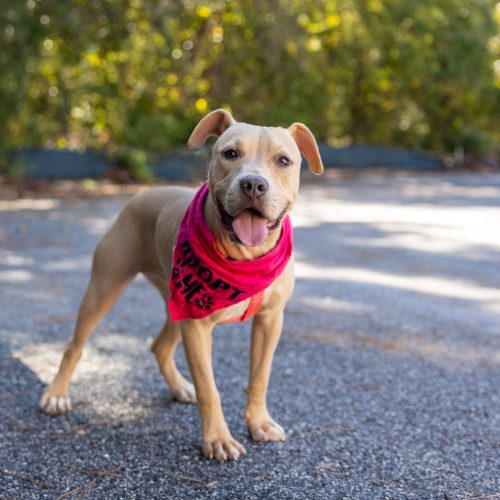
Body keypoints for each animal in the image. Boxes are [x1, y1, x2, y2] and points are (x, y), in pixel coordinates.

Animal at [39, 109, 324, 460]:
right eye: (230, 154)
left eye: (283, 160)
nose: (254, 184)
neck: (245, 257)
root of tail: (144, 193)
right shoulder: (198, 327)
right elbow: (209, 389)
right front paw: (217, 439)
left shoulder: (269, 320)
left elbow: (260, 377)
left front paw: (259, 423)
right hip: (105, 288)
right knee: (75, 346)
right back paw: (56, 394)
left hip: (177, 303)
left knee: (159, 346)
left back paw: (178, 387)